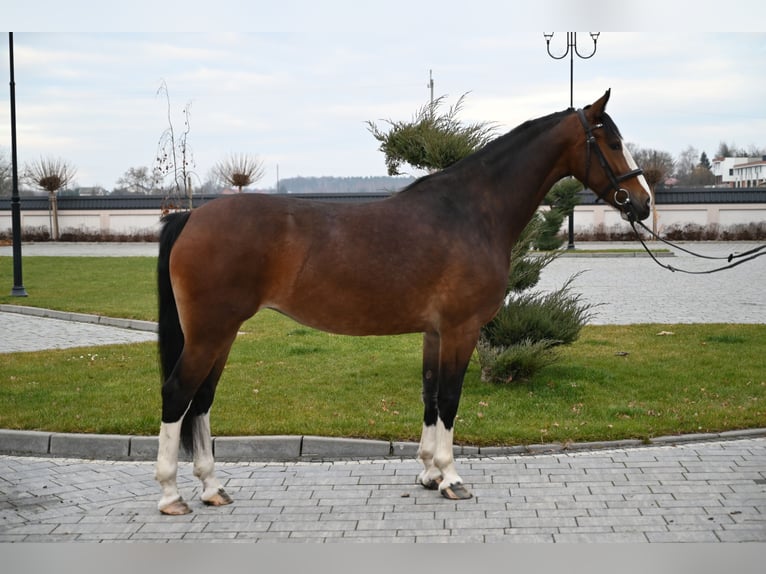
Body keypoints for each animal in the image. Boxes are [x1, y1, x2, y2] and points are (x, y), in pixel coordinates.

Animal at [154, 91, 656, 516]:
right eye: (612, 142)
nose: (644, 203)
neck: (471, 212)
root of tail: (191, 216)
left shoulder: (434, 332)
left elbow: (430, 395)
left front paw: (429, 472)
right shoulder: (460, 329)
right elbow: (450, 397)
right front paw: (452, 478)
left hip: (221, 334)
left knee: (201, 401)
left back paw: (212, 488)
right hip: (211, 333)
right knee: (178, 394)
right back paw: (171, 495)